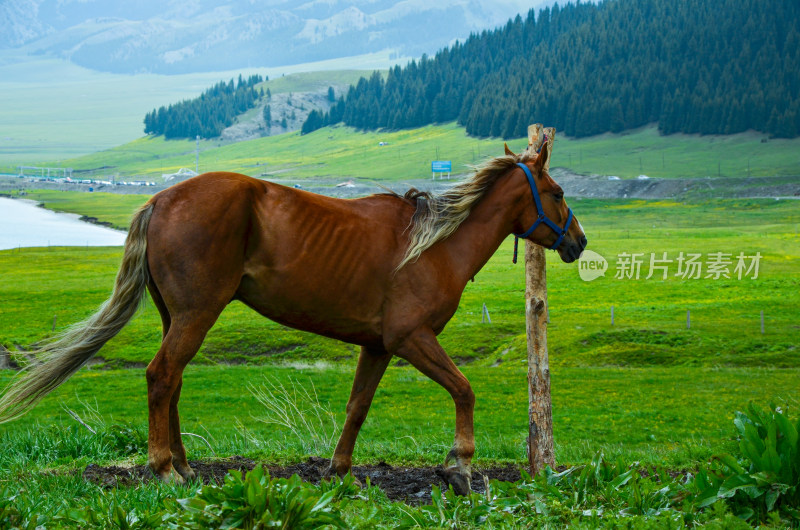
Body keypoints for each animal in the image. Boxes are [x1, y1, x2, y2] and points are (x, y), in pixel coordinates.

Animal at [1, 142, 588, 492]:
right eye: (558, 193)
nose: (578, 243)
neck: (434, 246)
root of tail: (161, 199)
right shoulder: (411, 338)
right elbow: (464, 390)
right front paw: (462, 465)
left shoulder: (378, 345)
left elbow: (357, 407)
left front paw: (339, 471)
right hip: (197, 315)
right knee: (161, 376)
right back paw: (165, 469)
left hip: (179, 317)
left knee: (174, 383)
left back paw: (186, 464)